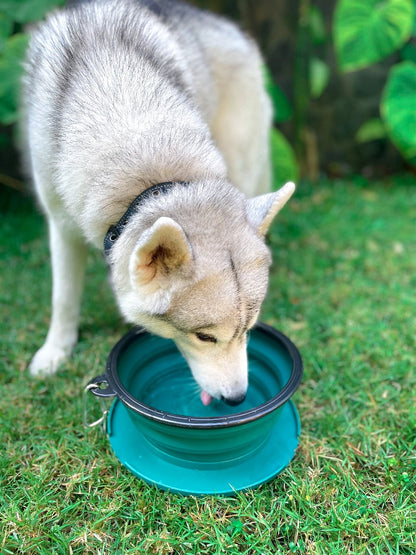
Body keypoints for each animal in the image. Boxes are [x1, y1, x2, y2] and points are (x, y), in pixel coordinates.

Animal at [23, 0, 296, 408]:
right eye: (204, 337)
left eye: (248, 329)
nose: (236, 400)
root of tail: (225, 26)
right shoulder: (61, 225)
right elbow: (64, 297)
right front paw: (55, 352)